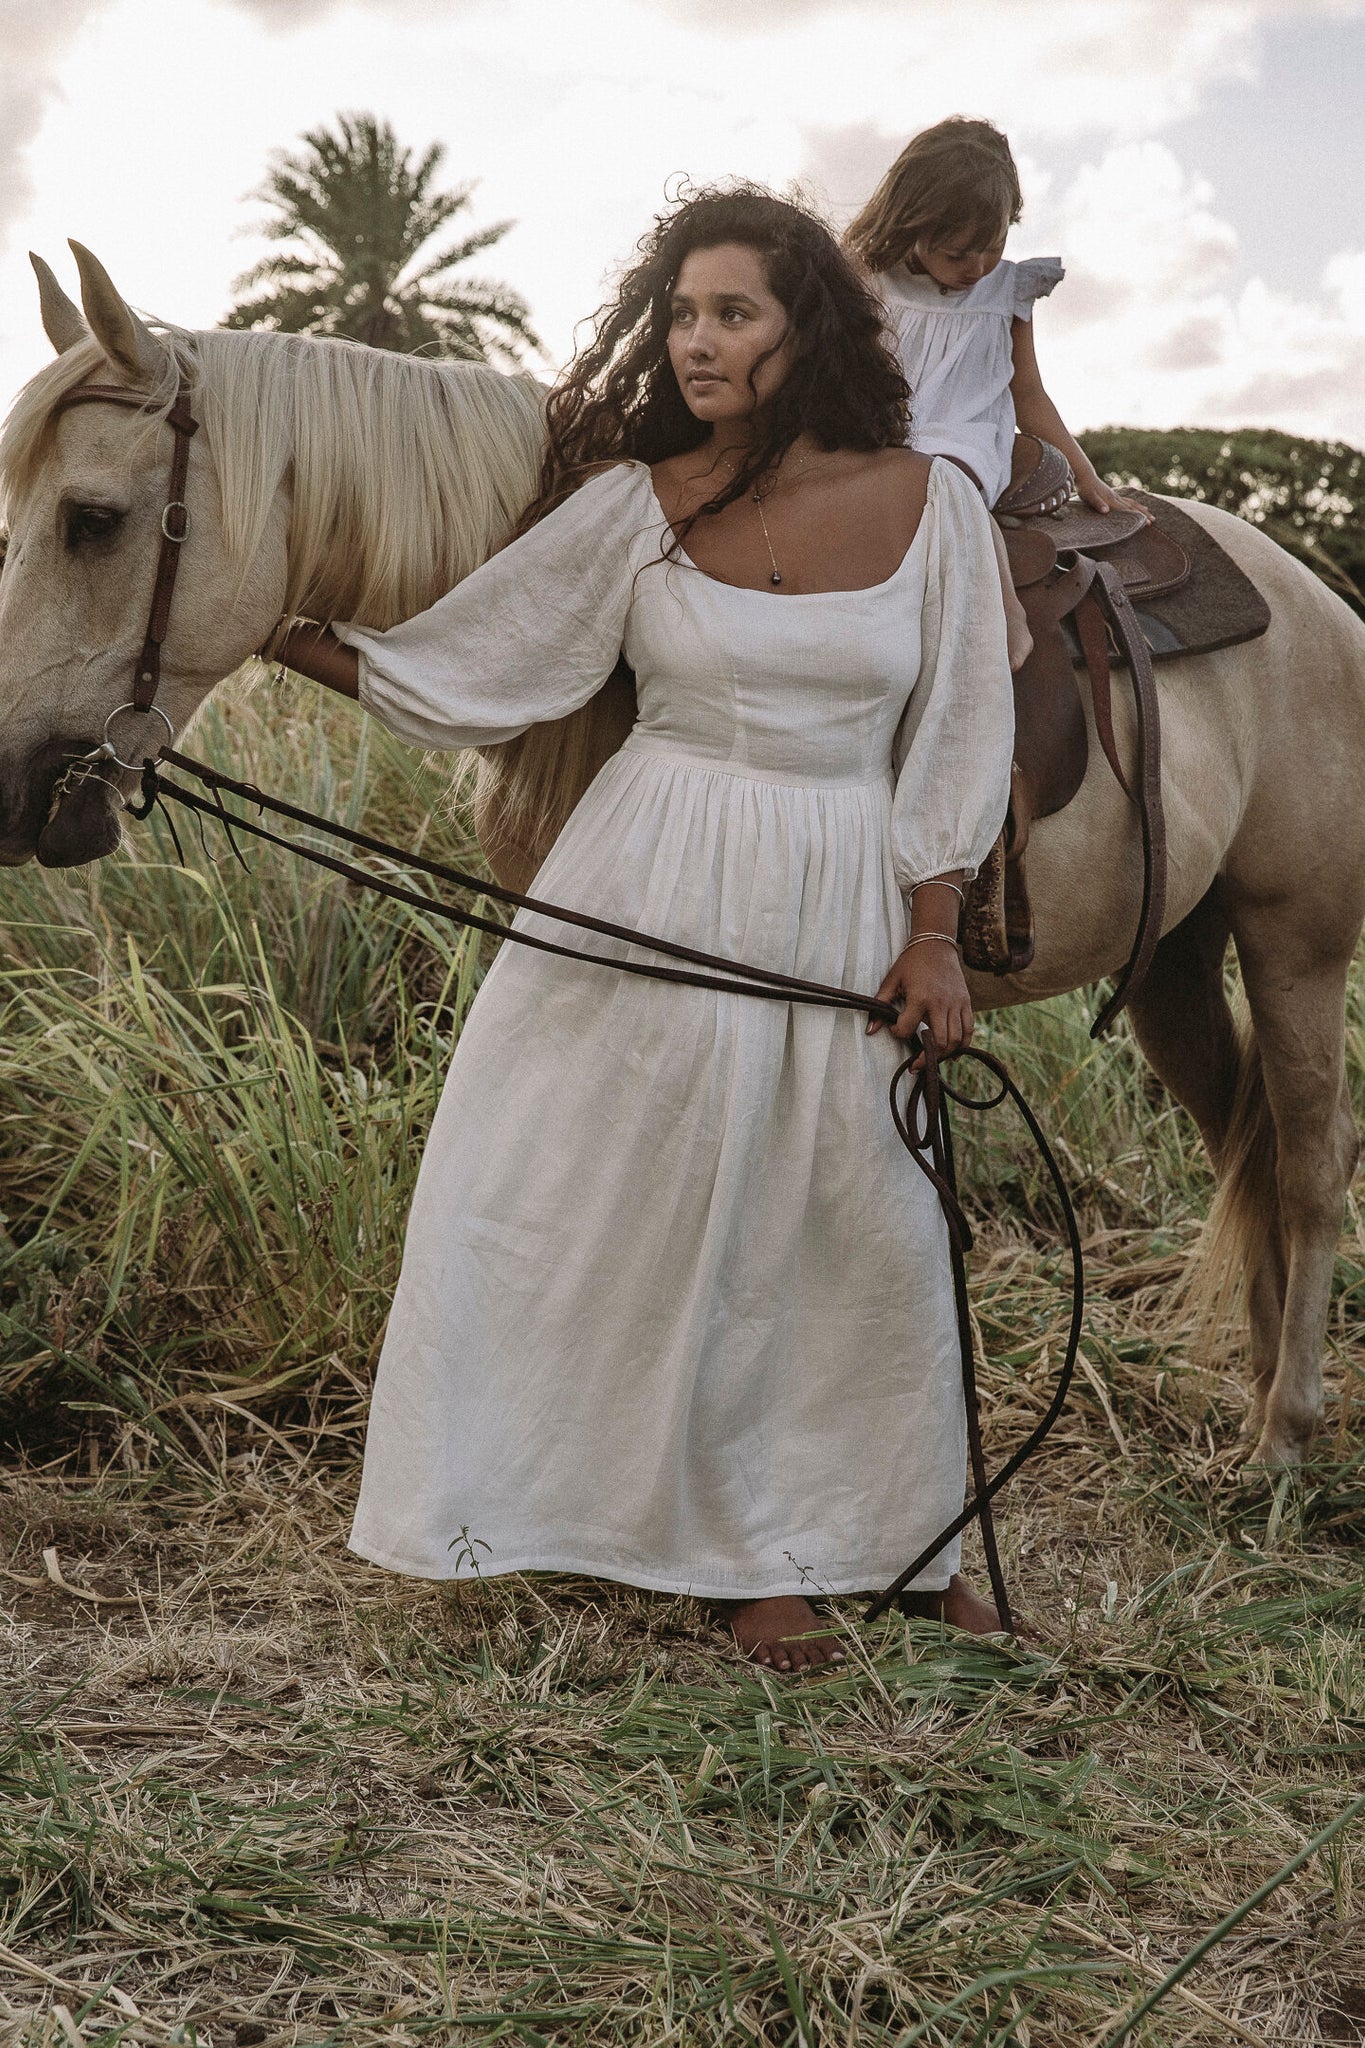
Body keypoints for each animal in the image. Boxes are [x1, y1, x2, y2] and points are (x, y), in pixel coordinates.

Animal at [2, 243, 1365, 1474]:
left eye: (93, 520)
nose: (16, 790)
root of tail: (1317, 601)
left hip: (1294, 939)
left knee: (1306, 1160)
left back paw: (1285, 1438)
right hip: (1175, 957)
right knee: (1240, 1136)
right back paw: (1253, 1395)